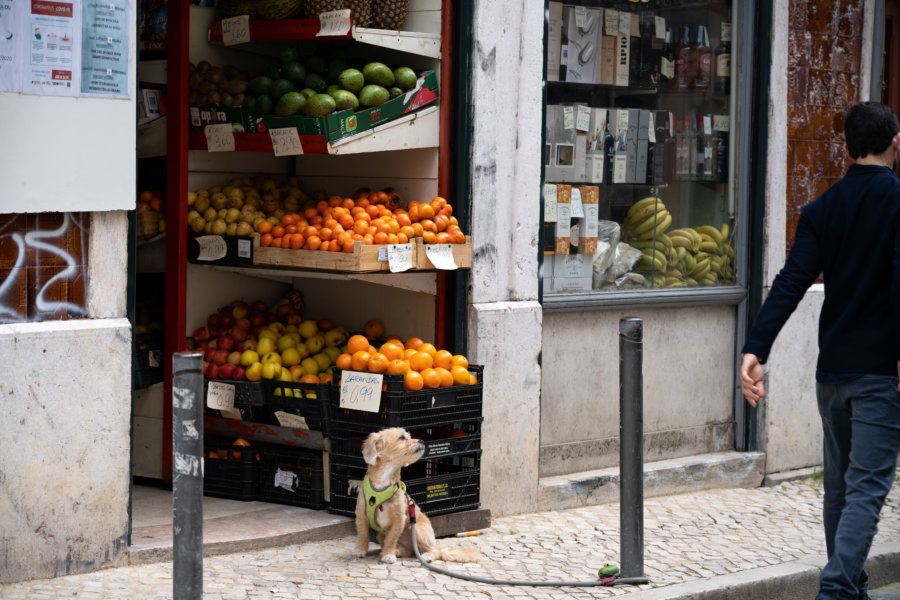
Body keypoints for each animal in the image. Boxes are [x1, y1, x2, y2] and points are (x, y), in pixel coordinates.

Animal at [352, 426, 482, 564]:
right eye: (402, 437)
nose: (421, 441)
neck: (383, 485)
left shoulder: (399, 520)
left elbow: (391, 539)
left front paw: (388, 554)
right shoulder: (361, 515)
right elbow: (363, 535)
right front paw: (360, 549)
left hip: (419, 530)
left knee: (433, 551)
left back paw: (425, 555)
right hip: (381, 535)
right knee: (410, 551)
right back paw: (398, 551)